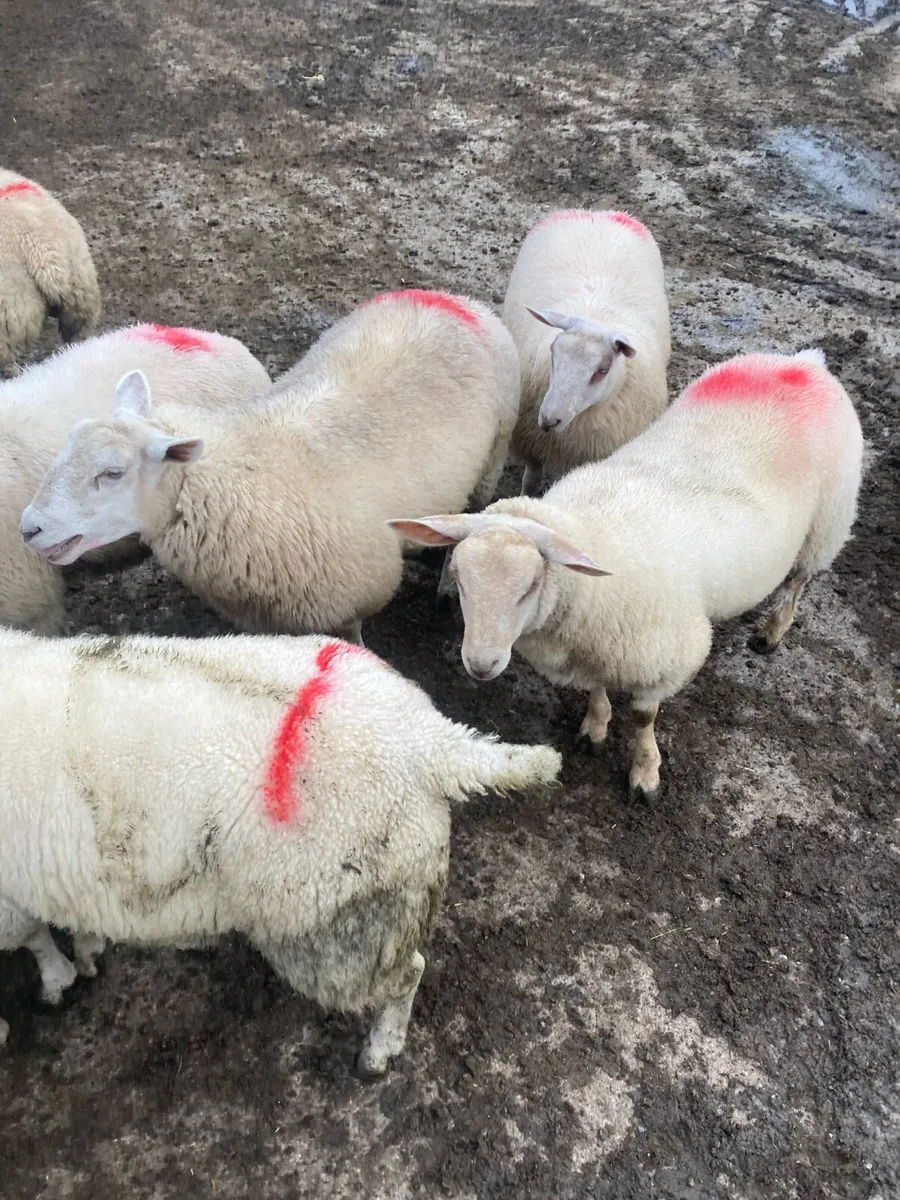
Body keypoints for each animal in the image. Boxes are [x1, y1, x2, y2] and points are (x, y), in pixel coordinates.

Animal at [0, 628, 561, 1070]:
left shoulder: (10, 900)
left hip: (335, 923)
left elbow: (34, 939)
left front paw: (56, 981)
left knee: (405, 976)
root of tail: (431, 744)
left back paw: (380, 1051)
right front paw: (86, 950)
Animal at [390, 349, 864, 800]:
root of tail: (802, 363)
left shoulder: (668, 657)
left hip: (827, 522)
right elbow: (598, 689)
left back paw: (771, 632)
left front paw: (645, 773)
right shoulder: (600, 645)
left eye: (530, 586)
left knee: (798, 581)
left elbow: (643, 716)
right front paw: (595, 728)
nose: (481, 664)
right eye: (460, 580)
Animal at [502, 209, 671, 496]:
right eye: (553, 353)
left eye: (602, 370)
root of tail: (596, 212)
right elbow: (531, 479)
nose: (549, 420)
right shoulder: (532, 441)